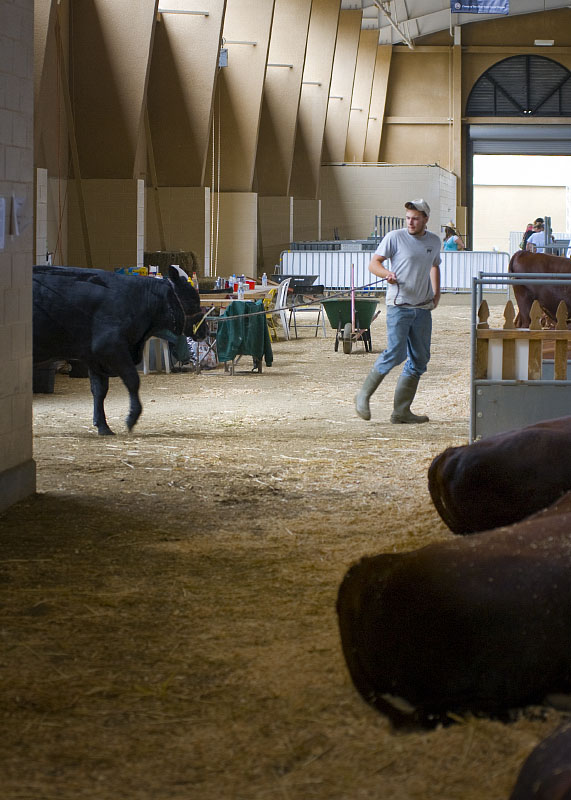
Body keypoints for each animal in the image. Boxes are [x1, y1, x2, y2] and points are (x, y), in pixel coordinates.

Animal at [33, 266, 206, 434]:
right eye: (192, 300)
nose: (205, 330)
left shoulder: (94, 358)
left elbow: (99, 390)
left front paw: (103, 426)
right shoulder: (110, 348)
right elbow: (132, 380)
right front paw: (132, 418)